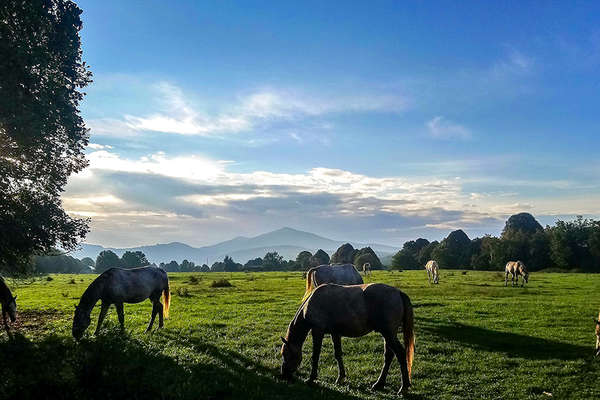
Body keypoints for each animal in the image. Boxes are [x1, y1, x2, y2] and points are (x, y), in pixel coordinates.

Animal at [280, 282, 412, 396]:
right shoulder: (335, 333)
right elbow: (338, 354)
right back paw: (379, 384)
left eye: (286, 354)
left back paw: (403, 387)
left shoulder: (318, 331)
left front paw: (311, 378)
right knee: (388, 356)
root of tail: (398, 292)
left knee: (400, 354)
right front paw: (341, 378)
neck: (312, 302)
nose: (284, 375)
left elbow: (315, 355)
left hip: (389, 334)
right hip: (387, 335)